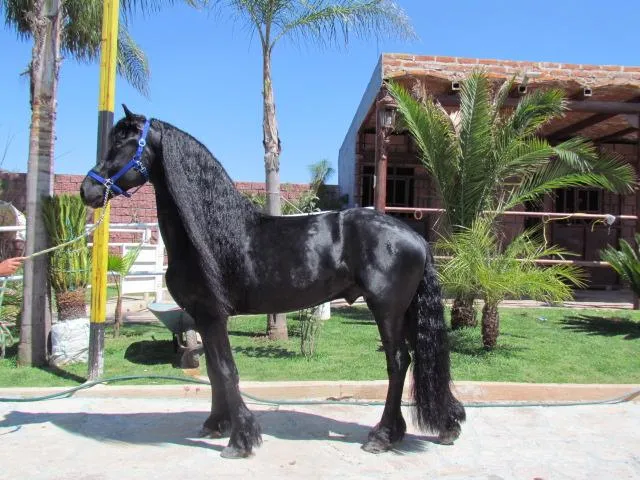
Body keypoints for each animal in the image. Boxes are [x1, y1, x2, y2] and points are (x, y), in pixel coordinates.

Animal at [80, 106, 465, 458]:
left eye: (126, 143)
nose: (87, 190)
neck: (210, 234)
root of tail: (415, 238)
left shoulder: (211, 314)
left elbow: (226, 371)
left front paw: (241, 439)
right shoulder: (203, 318)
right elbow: (213, 371)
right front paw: (216, 424)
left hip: (386, 310)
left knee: (398, 362)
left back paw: (382, 436)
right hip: (407, 311)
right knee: (419, 358)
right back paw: (441, 426)